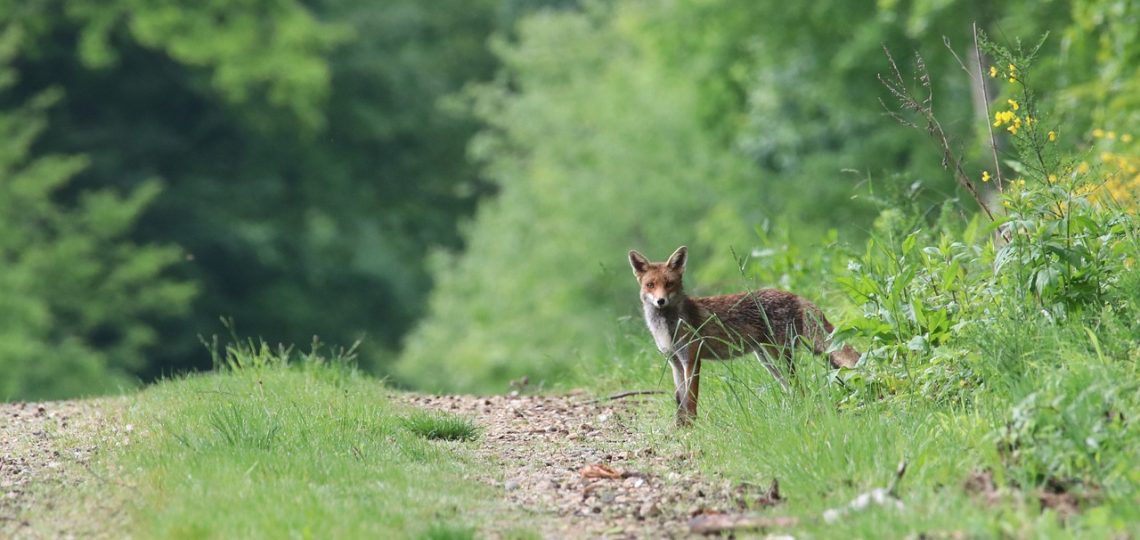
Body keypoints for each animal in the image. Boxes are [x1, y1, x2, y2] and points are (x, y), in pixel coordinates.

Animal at [629, 244, 857, 426]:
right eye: (650, 285)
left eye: (669, 284)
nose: (660, 301)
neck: (667, 327)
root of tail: (794, 295)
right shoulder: (675, 362)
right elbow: (680, 401)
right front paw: (680, 427)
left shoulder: (692, 360)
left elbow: (691, 401)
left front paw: (692, 428)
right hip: (768, 361)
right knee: (795, 389)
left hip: (778, 357)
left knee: (800, 387)